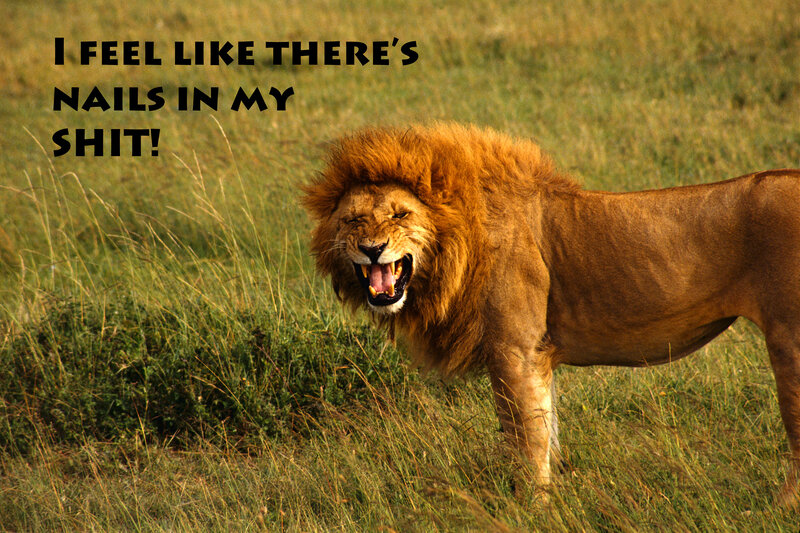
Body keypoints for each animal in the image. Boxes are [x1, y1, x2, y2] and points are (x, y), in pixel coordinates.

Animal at [302, 122, 800, 506]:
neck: (456, 245)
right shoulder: (537, 357)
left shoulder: (514, 351)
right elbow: (547, 431)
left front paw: (531, 508)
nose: (372, 249)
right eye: (353, 221)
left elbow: (525, 439)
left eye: (401, 215)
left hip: (789, 341)